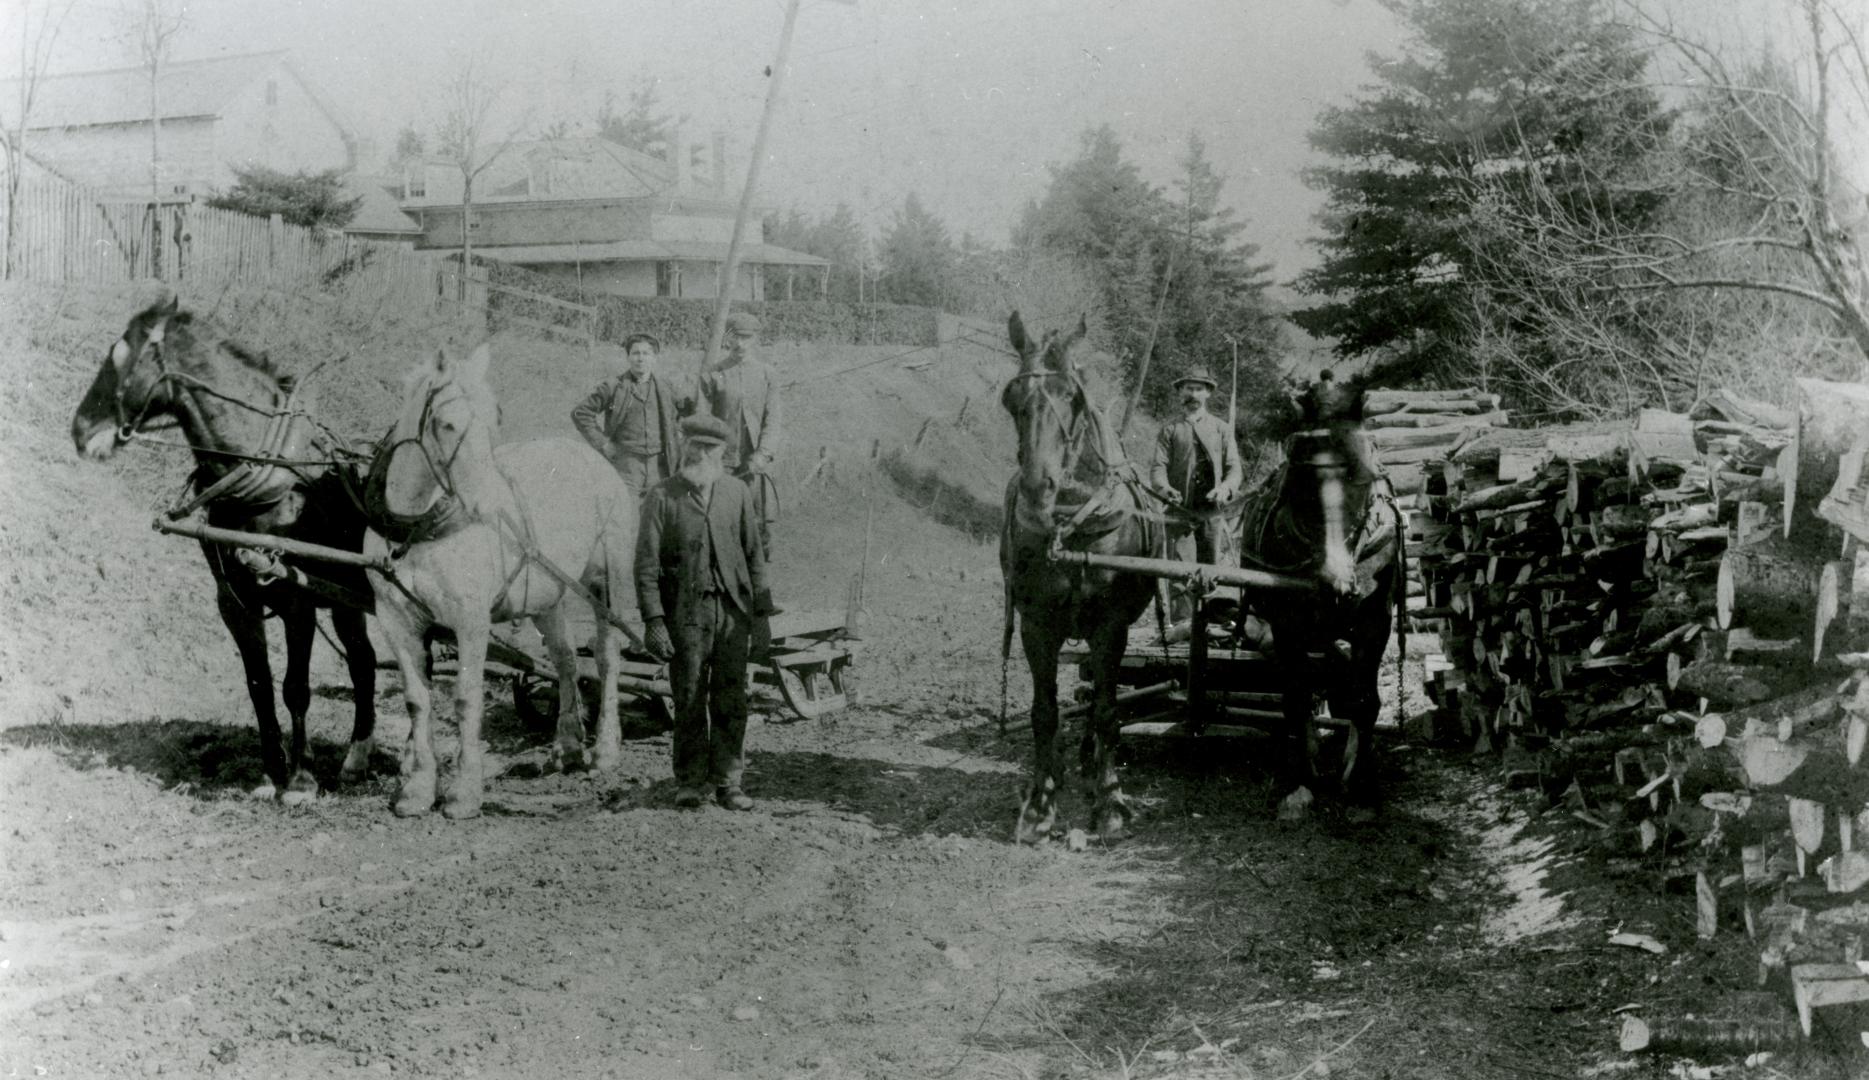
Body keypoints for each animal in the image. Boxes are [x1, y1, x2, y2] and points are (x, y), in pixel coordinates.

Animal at [71, 295, 377, 799]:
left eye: (119, 356)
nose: (79, 431)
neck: (264, 472)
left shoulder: (298, 598)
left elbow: (296, 686)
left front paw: (300, 778)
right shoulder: (234, 600)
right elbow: (258, 685)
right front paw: (269, 773)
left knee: (366, 661)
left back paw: (356, 758)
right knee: (364, 660)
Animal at [368, 343, 639, 814]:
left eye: (494, 418)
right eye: (447, 423)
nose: (489, 504)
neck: (418, 528)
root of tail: (593, 459)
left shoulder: (470, 620)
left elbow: (465, 697)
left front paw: (463, 792)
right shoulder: (395, 621)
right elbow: (417, 701)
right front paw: (418, 790)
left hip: (608, 580)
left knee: (606, 658)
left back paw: (605, 750)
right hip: (546, 595)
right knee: (566, 659)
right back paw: (568, 745)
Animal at [1001, 310, 1158, 840]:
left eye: (1074, 398)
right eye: (1010, 399)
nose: (1038, 488)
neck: (1070, 526)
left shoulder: (1111, 625)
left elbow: (1108, 710)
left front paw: (1110, 802)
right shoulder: (1036, 626)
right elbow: (1045, 712)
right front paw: (1040, 802)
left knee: (1097, 700)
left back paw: (1091, 765)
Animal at [1241, 371, 1405, 799]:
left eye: (1363, 479)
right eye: (1302, 479)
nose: (1337, 581)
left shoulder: (1375, 622)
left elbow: (1364, 699)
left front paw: (1356, 776)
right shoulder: (1287, 625)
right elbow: (1297, 697)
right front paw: (1307, 773)